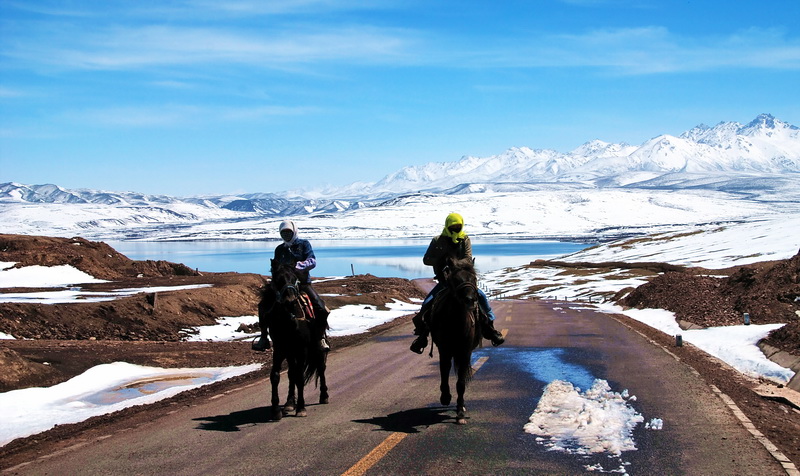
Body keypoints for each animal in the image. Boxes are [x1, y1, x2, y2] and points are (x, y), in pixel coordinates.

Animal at [260, 260, 328, 420]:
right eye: (277, 279)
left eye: (294, 278)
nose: (290, 301)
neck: (287, 320)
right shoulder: (280, 348)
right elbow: (276, 376)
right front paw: (276, 410)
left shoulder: (302, 349)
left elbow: (300, 377)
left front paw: (301, 408)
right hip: (290, 353)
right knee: (291, 373)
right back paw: (289, 403)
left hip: (316, 349)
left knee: (321, 368)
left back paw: (324, 396)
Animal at [432, 256, 482, 424]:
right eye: (455, 279)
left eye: (474, 278)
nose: (470, 300)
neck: (456, 322)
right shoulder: (444, 350)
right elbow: (444, 371)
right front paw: (445, 397)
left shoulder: (465, 351)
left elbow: (461, 382)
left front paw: (460, 412)